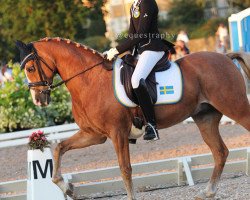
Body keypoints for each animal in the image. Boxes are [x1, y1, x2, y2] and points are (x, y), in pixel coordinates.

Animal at [16, 38, 250, 200]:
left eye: (30, 68)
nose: (38, 100)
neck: (89, 80)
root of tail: (225, 56)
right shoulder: (94, 135)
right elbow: (59, 148)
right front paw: (68, 188)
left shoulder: (117, 132)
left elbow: (125, 168)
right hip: (205, 118)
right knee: (220, 152)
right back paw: (208, 192)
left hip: (236, 108)